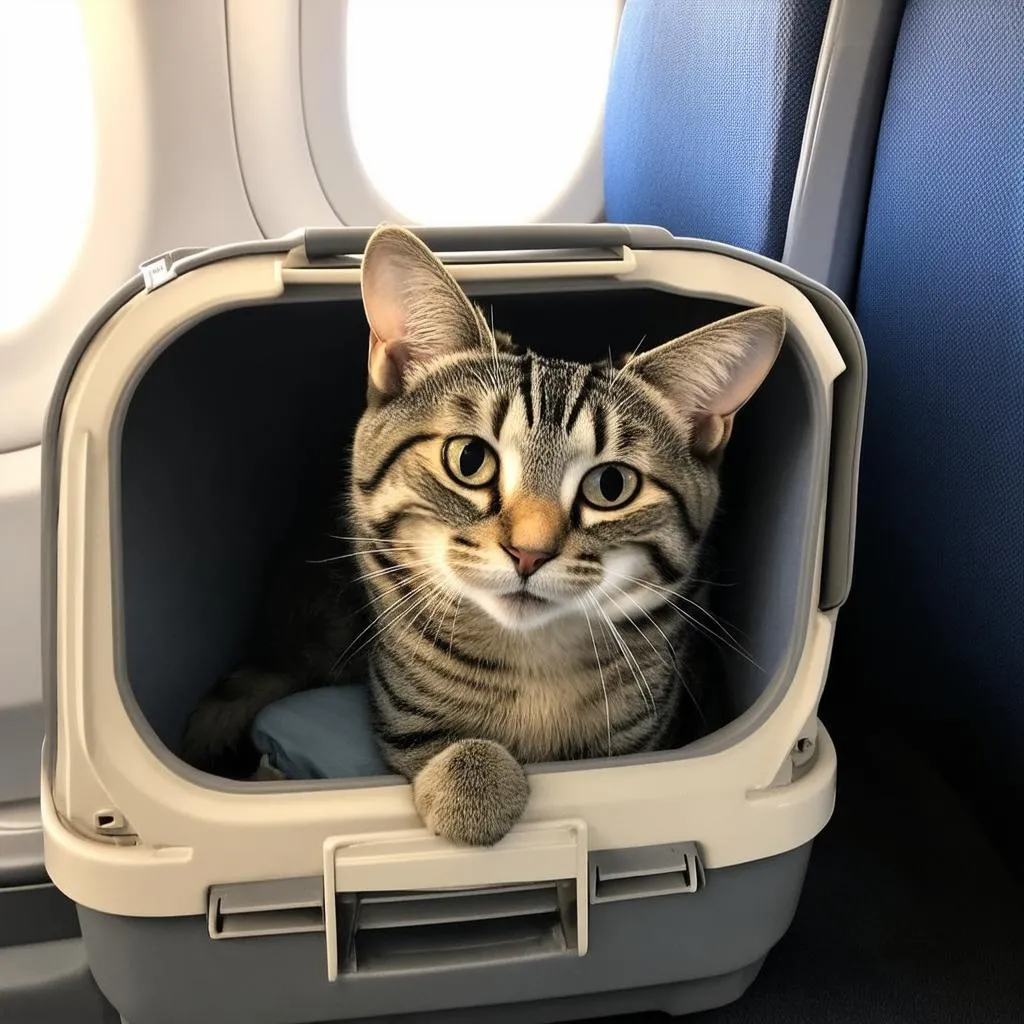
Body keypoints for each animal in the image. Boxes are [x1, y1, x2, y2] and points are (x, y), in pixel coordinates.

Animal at [182, 224, 782, 847]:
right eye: (470, 459)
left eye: (611, 485)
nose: (529, 552)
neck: (533, 664)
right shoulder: (400, 709)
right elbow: (435, 741)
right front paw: (474, 782)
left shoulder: (650, 728)